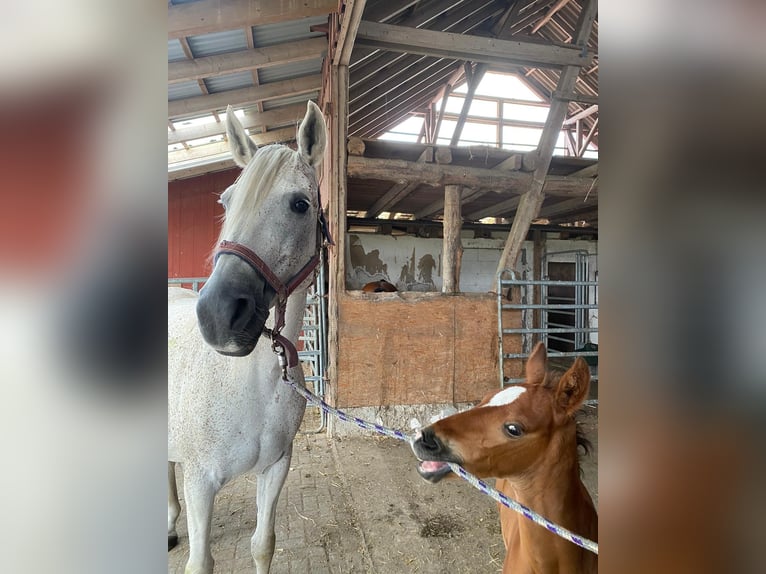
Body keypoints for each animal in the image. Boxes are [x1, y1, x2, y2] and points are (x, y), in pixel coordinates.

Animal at [168, 101, 328, 572]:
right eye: (226, 201)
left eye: (300, 204)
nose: (217, 315)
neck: (251, 386)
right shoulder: (200, 482)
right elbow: (200, 562)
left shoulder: (275, 468)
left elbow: (262, 544)